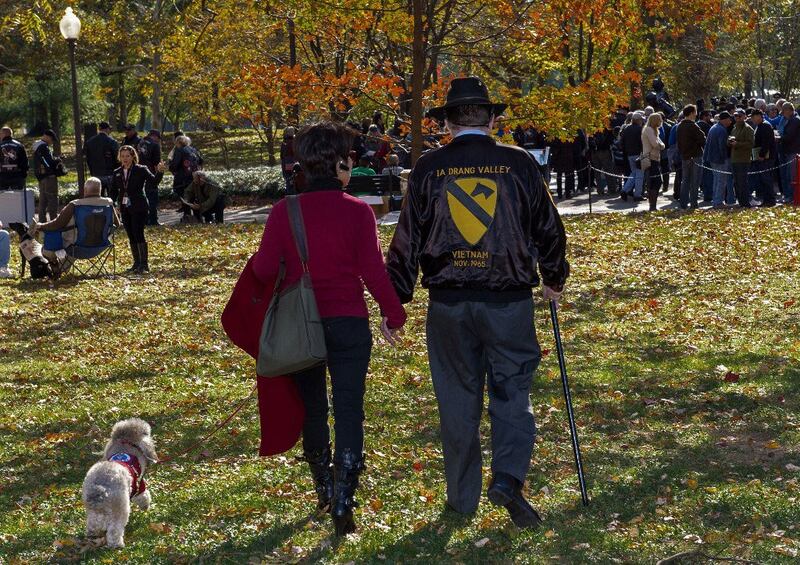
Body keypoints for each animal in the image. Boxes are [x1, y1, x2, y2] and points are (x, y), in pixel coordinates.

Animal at [81, 418, 158, 548]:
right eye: (147, 433)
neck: (126, 442)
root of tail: (100, 488)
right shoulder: (139, 486)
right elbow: (144, 497)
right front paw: (146, 507)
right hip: (120, 509)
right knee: (114, 530)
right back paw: (117, 545)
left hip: (94, 512)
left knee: (94, 524)